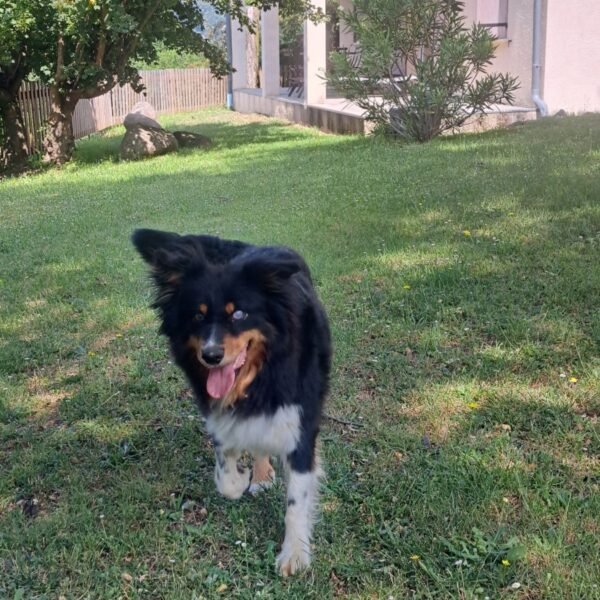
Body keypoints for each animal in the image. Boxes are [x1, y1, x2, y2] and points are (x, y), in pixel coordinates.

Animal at [130, 230, 332, 576]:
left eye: (238, 314)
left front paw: (294, 553)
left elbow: (296, 499)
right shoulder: (219, 413)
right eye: (197, 315)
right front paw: (242, 479)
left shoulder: (301, 423)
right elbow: (226, 473)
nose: (210, 356)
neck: (260, 375)